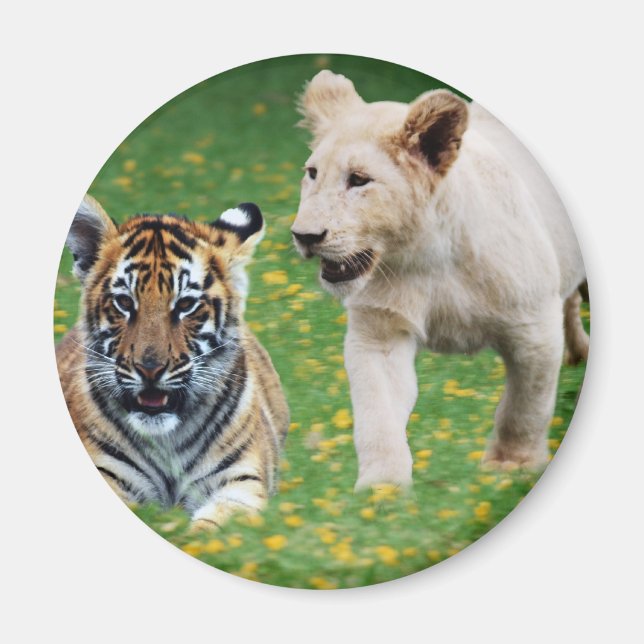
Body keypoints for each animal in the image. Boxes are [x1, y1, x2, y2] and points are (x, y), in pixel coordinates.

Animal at [292, 70, 589, 491]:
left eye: (359, 180)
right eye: (313, 173)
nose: (305, 235)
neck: (425, 257)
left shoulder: (532, 323)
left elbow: (525, 406)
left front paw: (511, 465)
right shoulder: (379, 328)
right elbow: (377, 410)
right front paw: (382, 487)